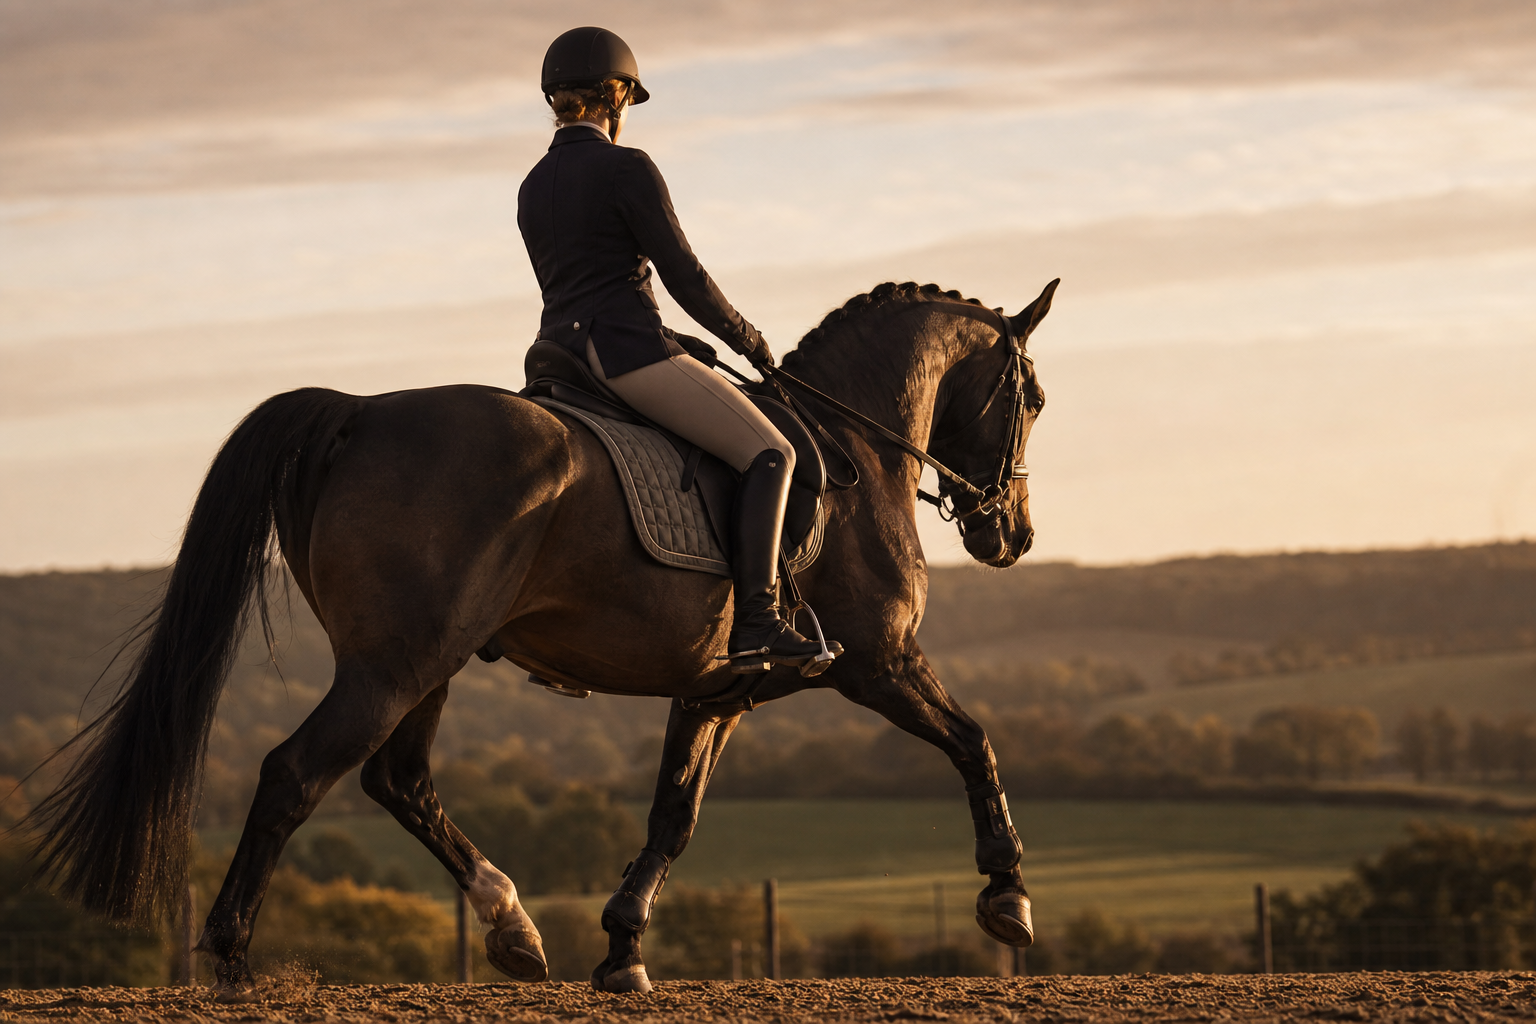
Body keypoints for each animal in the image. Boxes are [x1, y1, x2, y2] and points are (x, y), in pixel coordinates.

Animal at [29, 278, 1055, 995]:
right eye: (1033, 398)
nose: (1012, 536)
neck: (854, 451)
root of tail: (360, 410)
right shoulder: (882, 662)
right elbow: (975, 740)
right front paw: (1007, 897)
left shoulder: (716, 692)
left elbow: (673, 816)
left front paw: (623, 951)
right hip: (396, 665)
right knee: (295, 774)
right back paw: (234, 961)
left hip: (426, 664)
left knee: (397, 781)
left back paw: (512, 927)